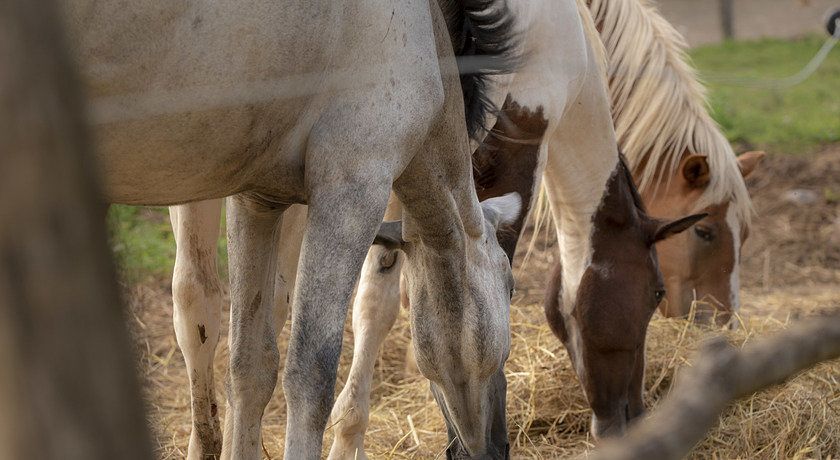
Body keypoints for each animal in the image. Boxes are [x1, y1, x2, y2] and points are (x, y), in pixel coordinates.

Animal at [60, 0, 520, 456]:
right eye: (511, 287)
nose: (499, 444)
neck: (426, 29)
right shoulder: (353, 187)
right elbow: (310, 376)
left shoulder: (256, 200)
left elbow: (250, 365)